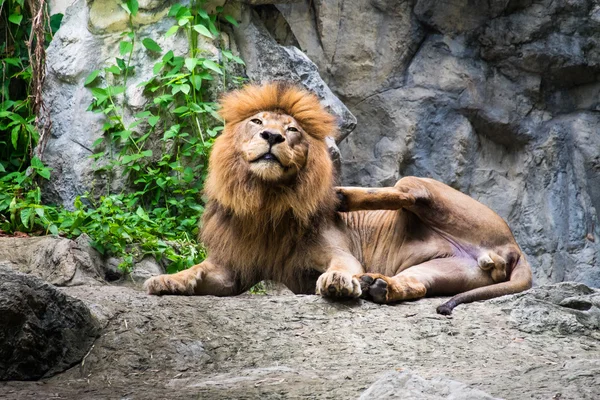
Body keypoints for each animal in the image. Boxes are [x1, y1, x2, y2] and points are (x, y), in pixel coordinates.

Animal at [143, 81, 532, 314]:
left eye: (292, 130)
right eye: (256, 122)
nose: (272, 136)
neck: (266, 200)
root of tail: (513, 246)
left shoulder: (339, 252)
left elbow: (342, 267)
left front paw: (339, 283)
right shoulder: (232, 270)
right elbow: (199, 271)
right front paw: (166, 281)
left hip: (425, 187)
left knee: (412, 193)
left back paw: (342, 197)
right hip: (445, 269)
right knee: (417, 284)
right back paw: (380, 286)